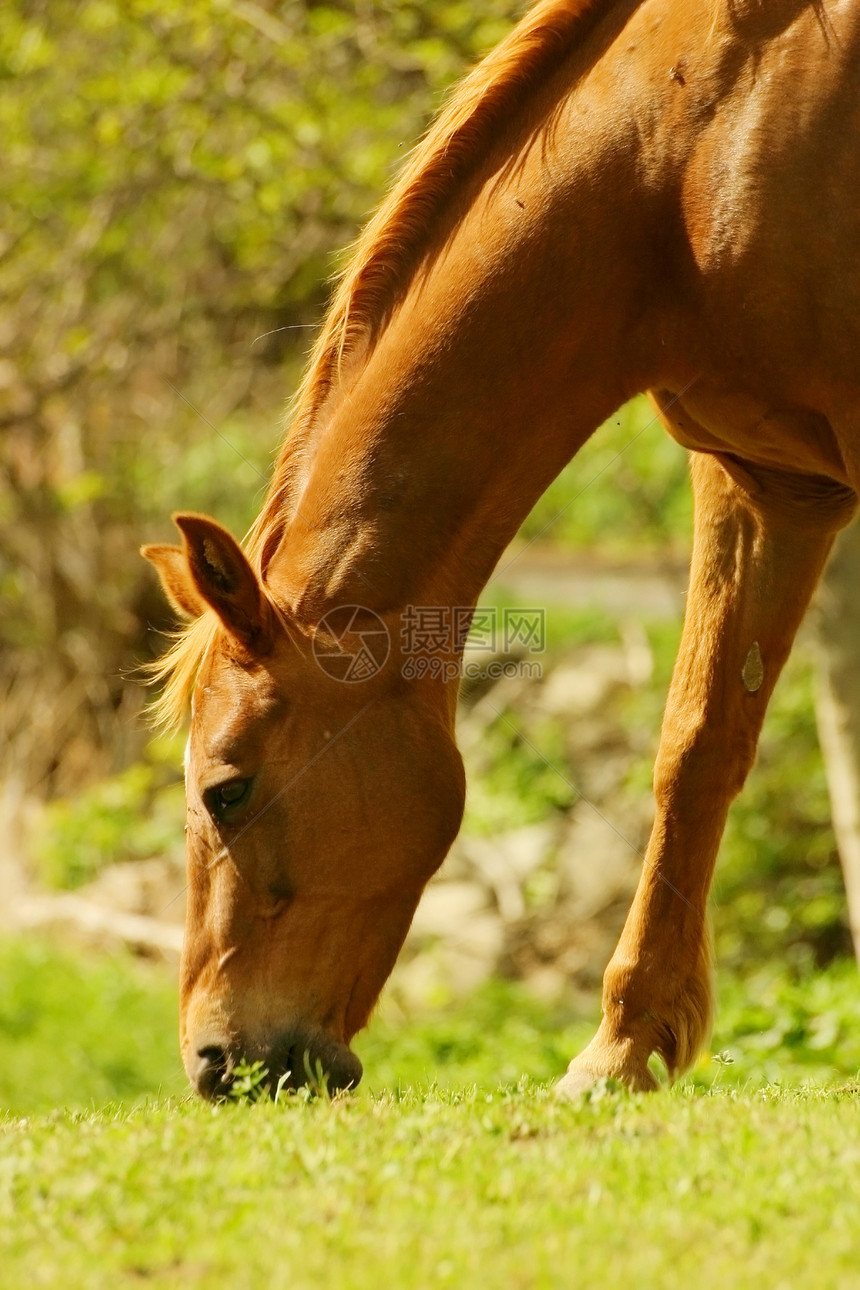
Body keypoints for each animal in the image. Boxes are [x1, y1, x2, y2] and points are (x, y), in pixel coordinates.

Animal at [143, 0, 860, 1104]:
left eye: (227, 789)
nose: (218, 1064)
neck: (687, 147)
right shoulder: (765, 483)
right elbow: (696, 749)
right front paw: (621, 1049)